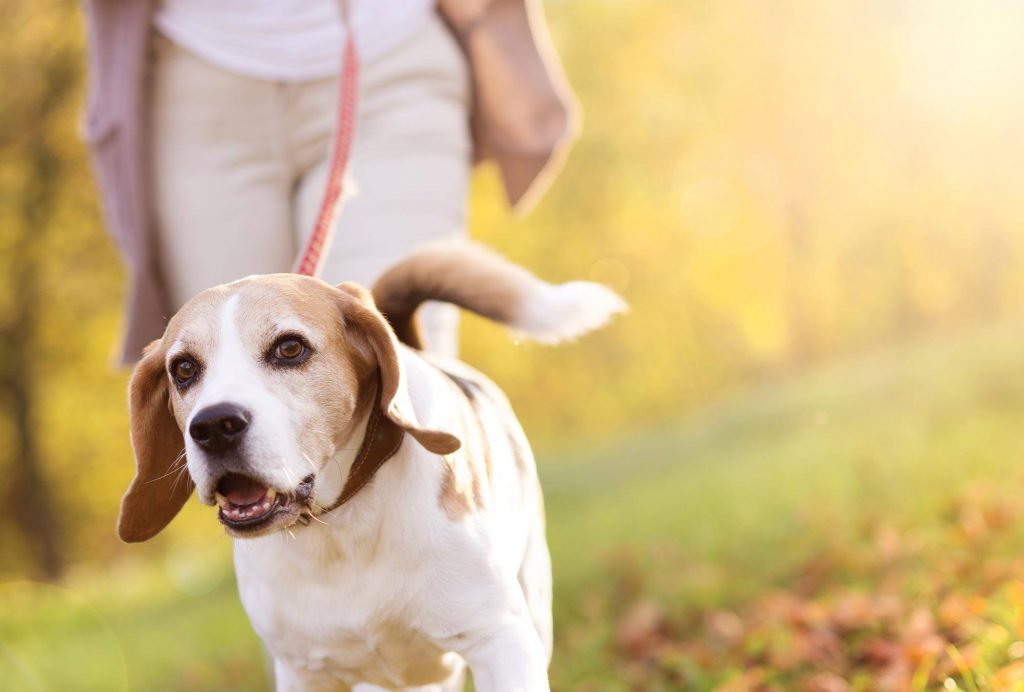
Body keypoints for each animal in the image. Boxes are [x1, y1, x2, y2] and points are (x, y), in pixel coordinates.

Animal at [118, 240, 622, 687]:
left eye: (289, 348)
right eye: (184, 369)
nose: (213, 426)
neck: (341, 530)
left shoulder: (500, 642)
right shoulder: (303, 673)